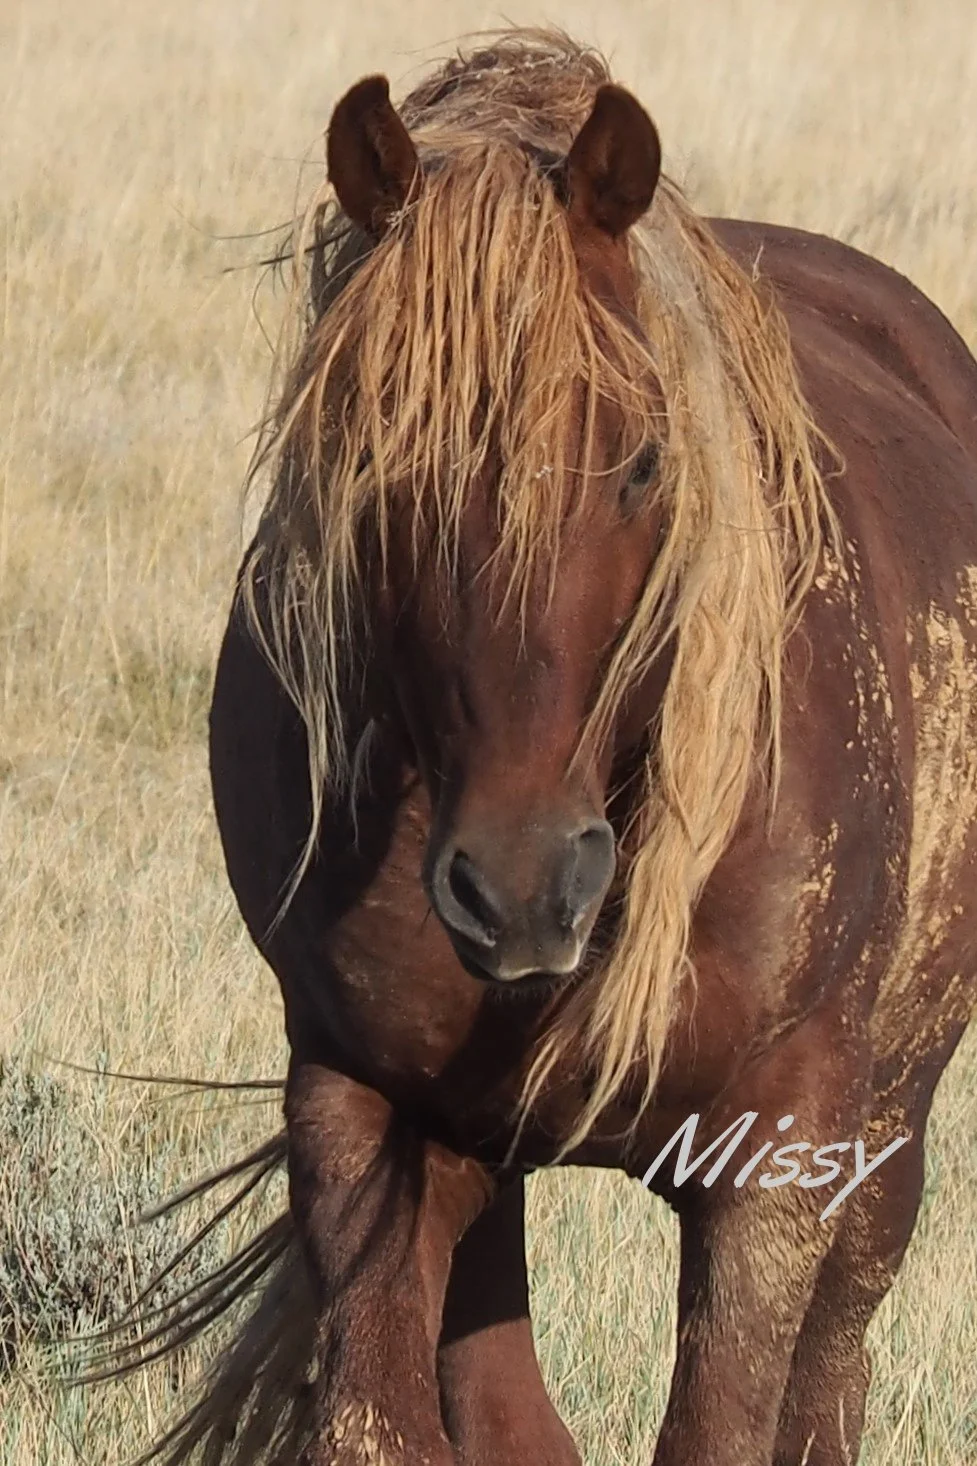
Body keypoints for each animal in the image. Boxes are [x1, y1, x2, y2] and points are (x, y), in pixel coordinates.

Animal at [129, 28, 977, 1466]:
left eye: (641, 461)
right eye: (374, 468)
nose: (524, 890)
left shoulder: (777, 1163)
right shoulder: (362, 1114)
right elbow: (395, 1423)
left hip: (881, 1146)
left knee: (831, 1375)